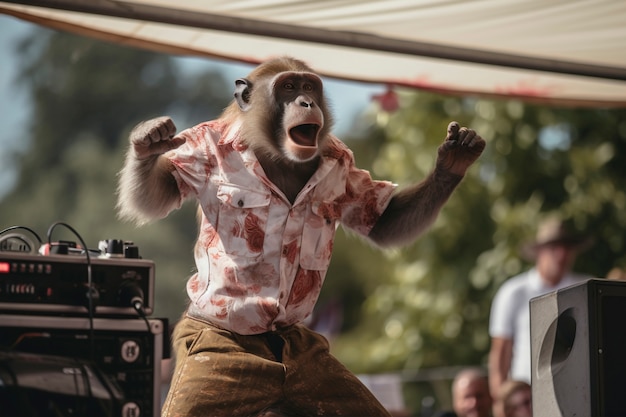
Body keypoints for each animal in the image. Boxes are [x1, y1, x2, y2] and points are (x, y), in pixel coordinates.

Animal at [118, 56, 488, 416]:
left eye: (308, 87)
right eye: (288, 87)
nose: (306, 102)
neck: (277, 151)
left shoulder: (343, 159)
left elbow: (382, 220)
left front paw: (452, 162)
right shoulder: (201, 148)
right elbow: (158, 194)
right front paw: (148, 141)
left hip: (309, 365)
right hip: (214, 351)